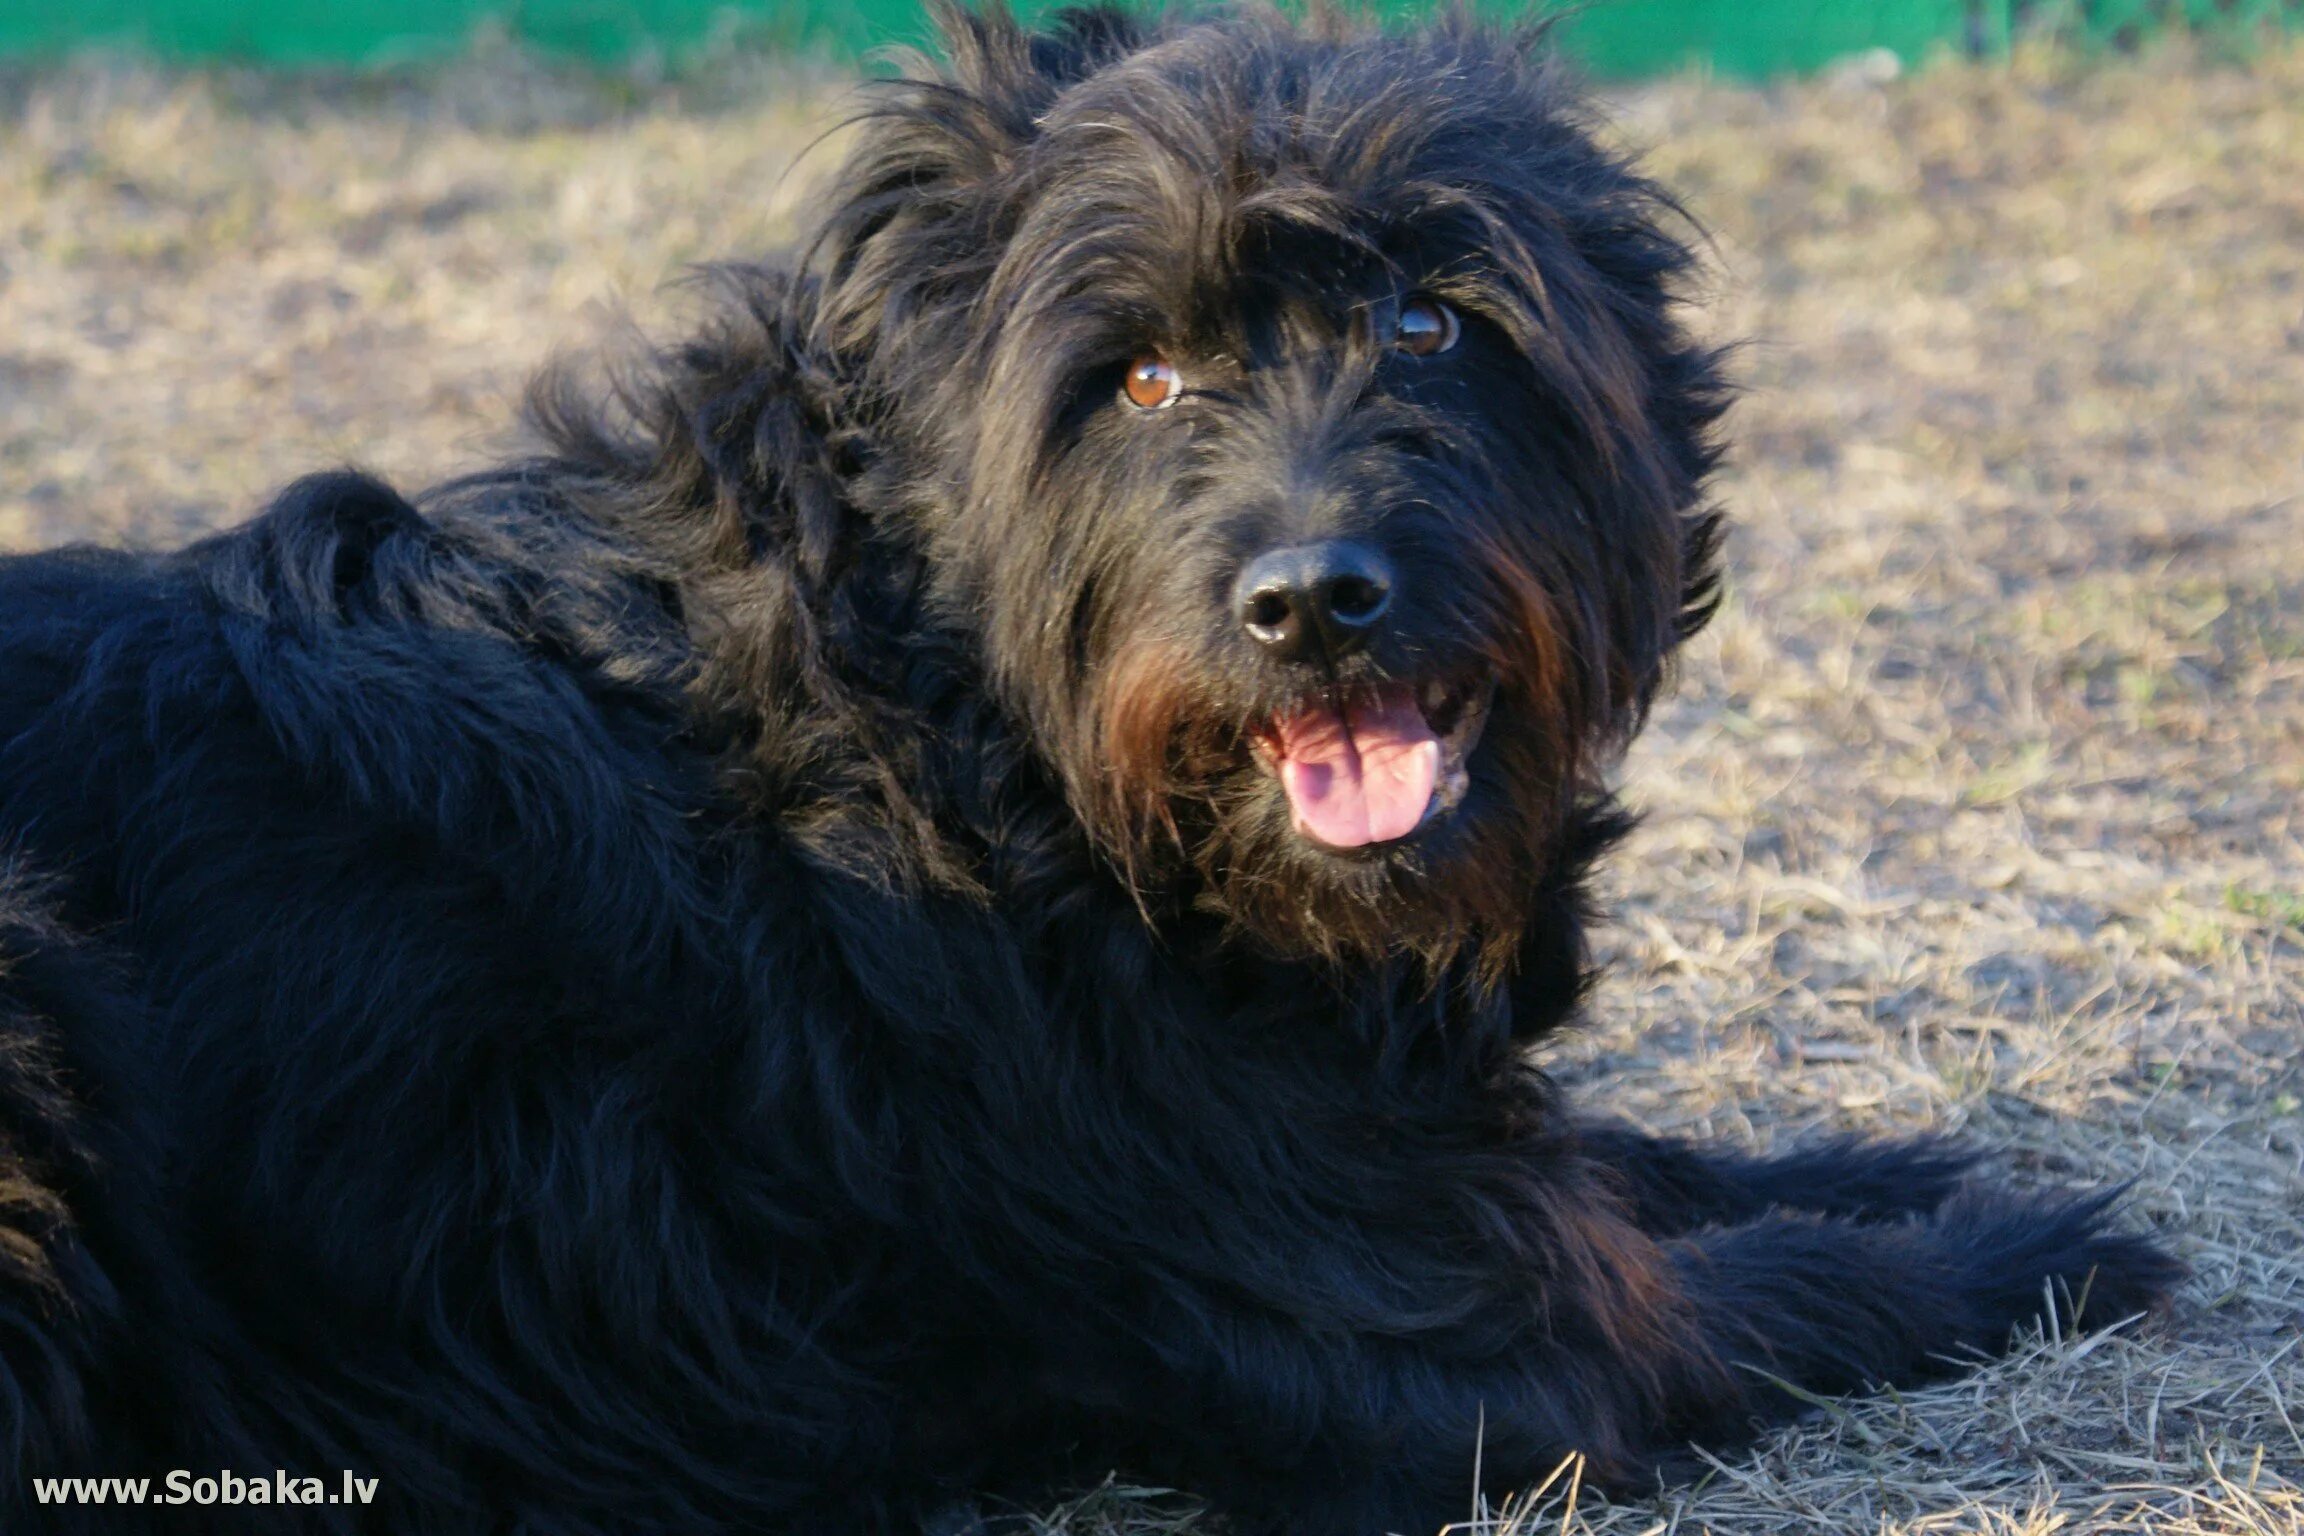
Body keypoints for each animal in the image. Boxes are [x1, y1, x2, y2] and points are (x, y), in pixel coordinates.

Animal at [0, 6, 2165, 1529]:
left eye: (1428, 319)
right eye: (1132, 378)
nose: (1311, 602)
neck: (965, 724)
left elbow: (1656, 1160)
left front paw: (1893, 1162)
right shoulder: (1451, 1338)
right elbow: (1735, 1293)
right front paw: (2030, 1244)